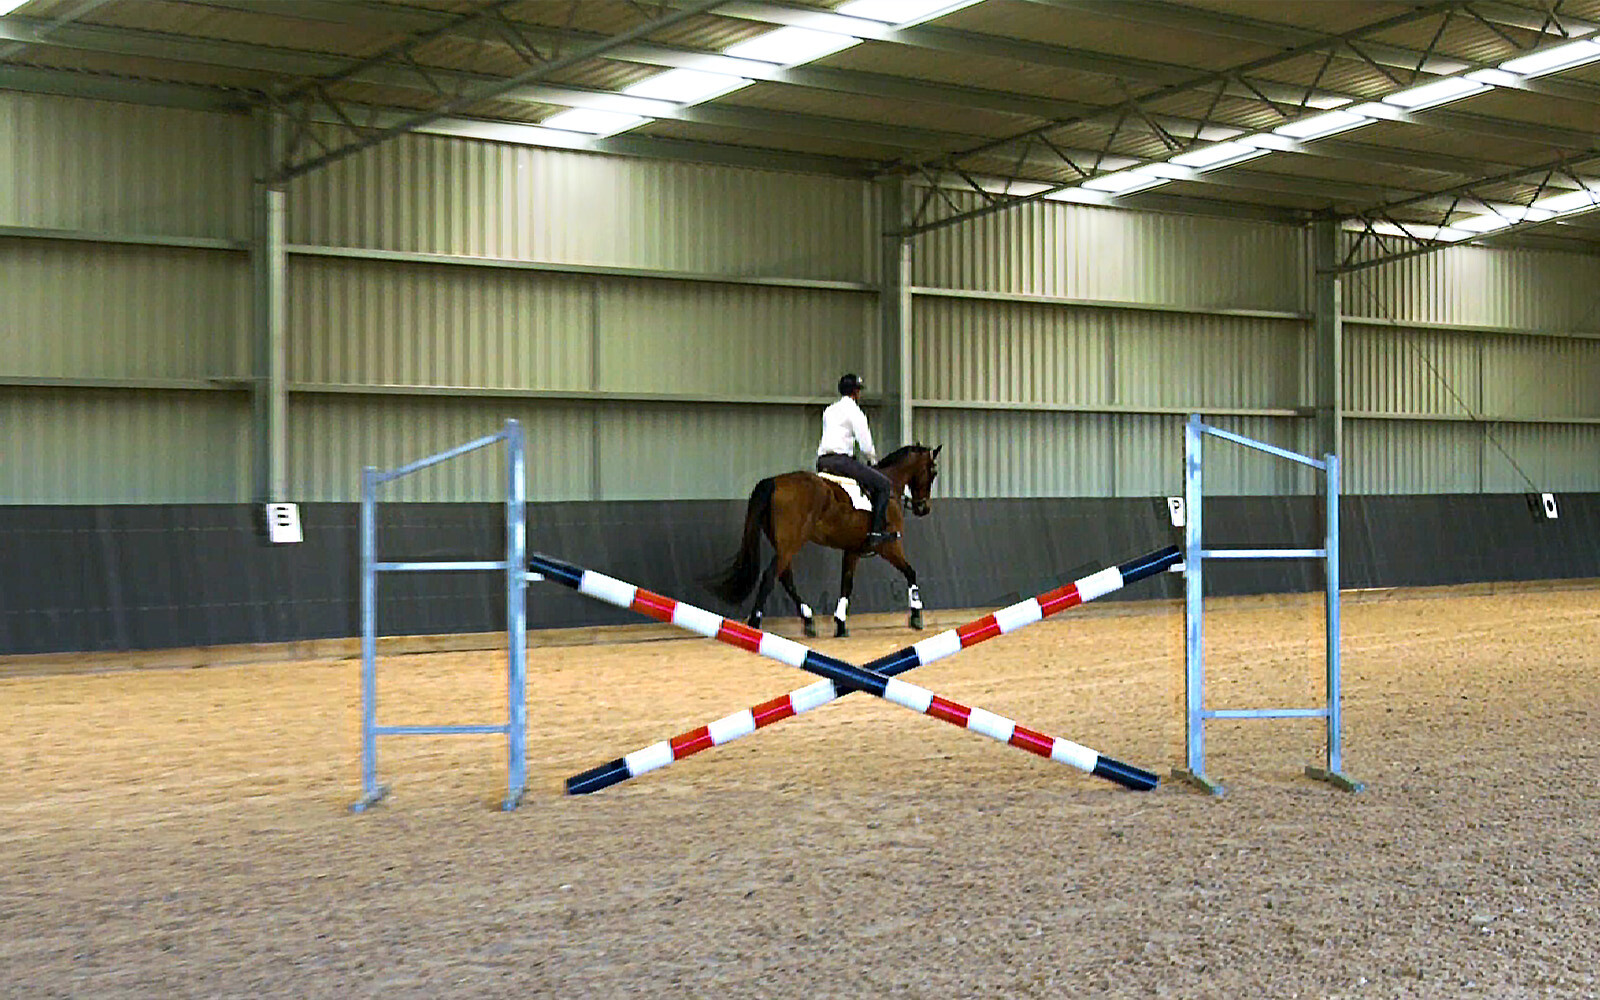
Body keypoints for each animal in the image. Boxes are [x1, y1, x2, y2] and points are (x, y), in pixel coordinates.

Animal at [710, 441, 934, 636]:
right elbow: (910, 572)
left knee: (785, 578)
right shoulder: (889, 546)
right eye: (933, 472)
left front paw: (841, 624)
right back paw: (755, 622)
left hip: (784, 545)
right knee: (770, 576)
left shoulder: (852, 550)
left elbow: (846, 584)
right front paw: (916, 616)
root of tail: (774, 481)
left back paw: (808, 620)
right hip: (791, 544)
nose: (923, 508)